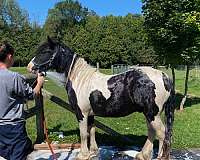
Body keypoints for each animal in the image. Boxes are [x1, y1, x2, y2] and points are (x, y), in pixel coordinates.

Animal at [27, 37, 174, 160]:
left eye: (45, 51)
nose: (29, 67)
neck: (80, 79)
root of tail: (164, 76)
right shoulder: (90, 114)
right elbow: (91, 131)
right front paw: (93, 152)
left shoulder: (81, 113)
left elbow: (83, 133)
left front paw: (82, 155)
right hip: (150, 113)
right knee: (152, 132)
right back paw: (143, 155)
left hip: (152, 114)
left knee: (162, 134)